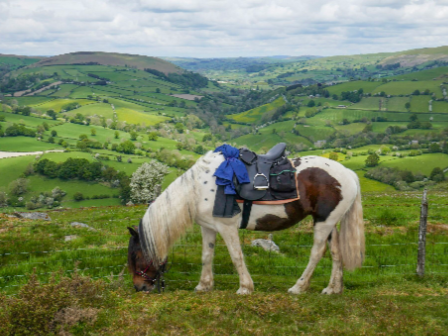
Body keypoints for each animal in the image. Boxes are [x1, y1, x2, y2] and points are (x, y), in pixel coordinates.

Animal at [126, 150, 364, 294]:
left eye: (137, 256)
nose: (139, 287)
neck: (198, 189)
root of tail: (348, 173)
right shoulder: (208, 227)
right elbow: (206, 256)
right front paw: (204, 285)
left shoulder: (227, 227)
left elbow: (236, 256)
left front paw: (245, 287)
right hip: (329, 222)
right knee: (336, 252)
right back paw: (333, 289)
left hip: (323, 223)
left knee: (317, 253)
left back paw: (299, 287)